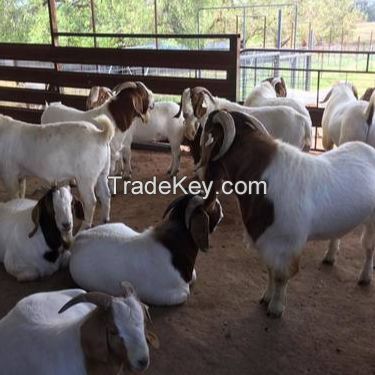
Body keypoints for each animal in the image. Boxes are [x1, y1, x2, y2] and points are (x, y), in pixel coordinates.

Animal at [195, 110, 375, 318]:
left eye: (208, 136)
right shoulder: (267, 240)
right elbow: (270, 271)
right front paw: (266, 297)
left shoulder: (286, 244)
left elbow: (281, 276)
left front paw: (276, 308)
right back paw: (330, 257)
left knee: (369, 247)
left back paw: (365, 277)